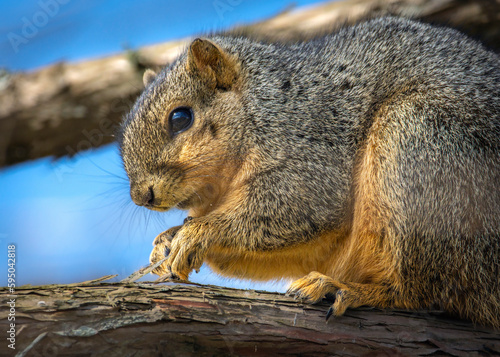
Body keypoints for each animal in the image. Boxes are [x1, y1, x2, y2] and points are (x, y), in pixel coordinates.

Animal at [119, 18, 500, 326]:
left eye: (180, 117)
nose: (142, 196)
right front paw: (166, 240)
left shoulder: (314, 146)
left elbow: (298, 208)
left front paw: (198, 232)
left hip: (419, 145)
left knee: (419, 290)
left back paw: (349, 290)